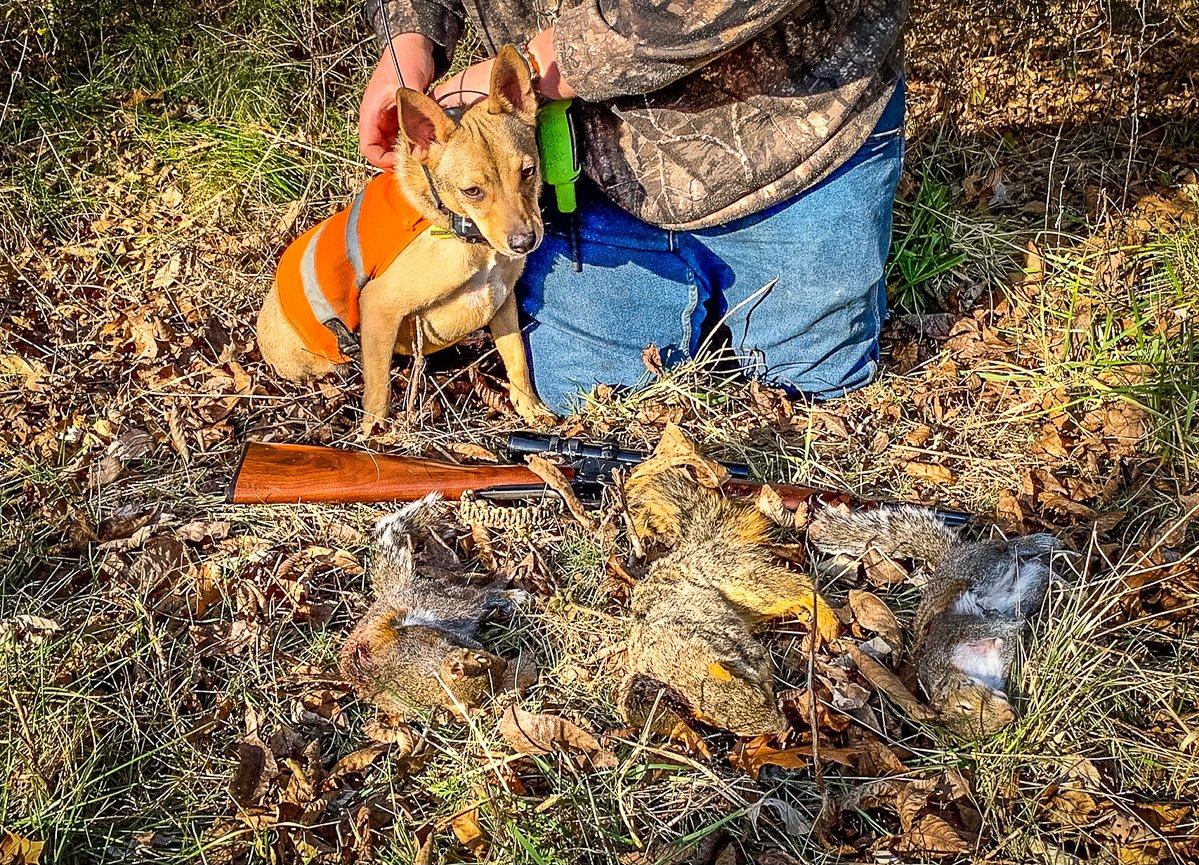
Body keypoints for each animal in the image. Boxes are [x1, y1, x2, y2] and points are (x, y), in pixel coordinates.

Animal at [257, 43, 556, 429]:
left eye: (528, 171)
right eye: (472, 191)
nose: (524, 242)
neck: (466, 237)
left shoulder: (504, 302)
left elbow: (517, 358)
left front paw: (530, 407)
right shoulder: (379, 306)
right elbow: (378, 391)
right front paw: (375, 434)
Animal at [618, 465, 844, 734]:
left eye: (761, 693)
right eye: (736, 731)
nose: (784, 728)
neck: (683, 664)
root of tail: (699, 547)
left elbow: (759, 656)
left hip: (739, 579)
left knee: (798, 586)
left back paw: (826, 619)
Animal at [805, 506, 1059, 734]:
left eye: (965, 705)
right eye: (985, 732)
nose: (1009, 714)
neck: (978, 669)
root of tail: (950, 557)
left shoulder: (954, 634)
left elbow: (991, 627)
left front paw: (1006, 626)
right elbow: (1006, 638)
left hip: (983, 569)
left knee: (1005, 548)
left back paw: (1041, 544)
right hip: (1028, 585)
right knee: (1036, 570)